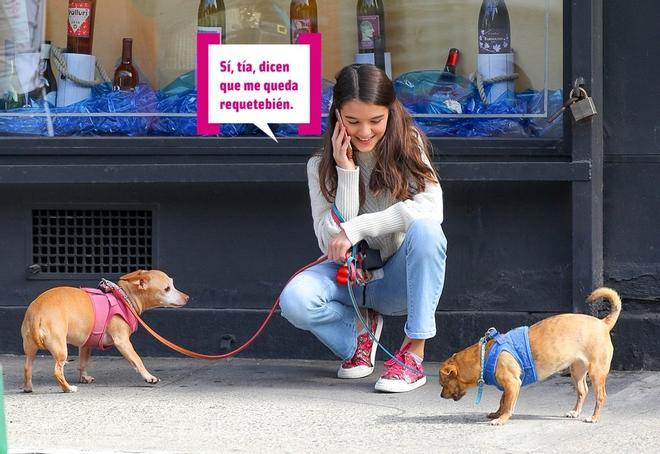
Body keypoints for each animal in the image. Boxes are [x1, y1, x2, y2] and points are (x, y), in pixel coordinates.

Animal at [20, 270, 189, 394]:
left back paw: (28, 388)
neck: (124, 298)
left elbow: (83, 362)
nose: (187, 297)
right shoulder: (122, 342)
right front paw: (148, 377)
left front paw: (84, 377)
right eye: (167, 289)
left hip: (30, 349)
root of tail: (37, 313)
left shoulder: (86, 344)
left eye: (172, 284)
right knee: (57, 371)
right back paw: (68, 388)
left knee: (27, 367)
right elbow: (137, 360)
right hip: (61, 350)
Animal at [440, 290, 620, 424]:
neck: (485, 355)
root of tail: (603, 323)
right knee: (583, 391)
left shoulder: (512, 383)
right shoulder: (508, 386)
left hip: (596, 372)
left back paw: (594, 417)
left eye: (443, 384)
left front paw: (502, 419)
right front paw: (498, 413)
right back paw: (575, 412)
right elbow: (502, 401)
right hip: (577, 371)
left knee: (600, 396)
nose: (441, 396)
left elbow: (508, 405)